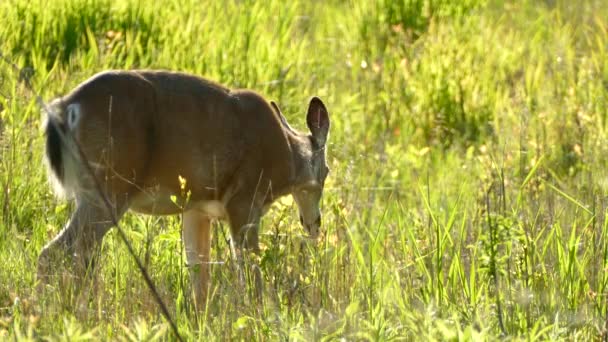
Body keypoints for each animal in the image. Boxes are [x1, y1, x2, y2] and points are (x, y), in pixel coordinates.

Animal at [36, 68, 332, 308]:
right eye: (327, 172)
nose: (314, 223)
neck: (286, 157)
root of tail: (66, 108)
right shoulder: (244, 199)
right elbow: (250, 268)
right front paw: (260, 314)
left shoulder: (196, 208)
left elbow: (199, 276)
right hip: (108, 188)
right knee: (54, 252)